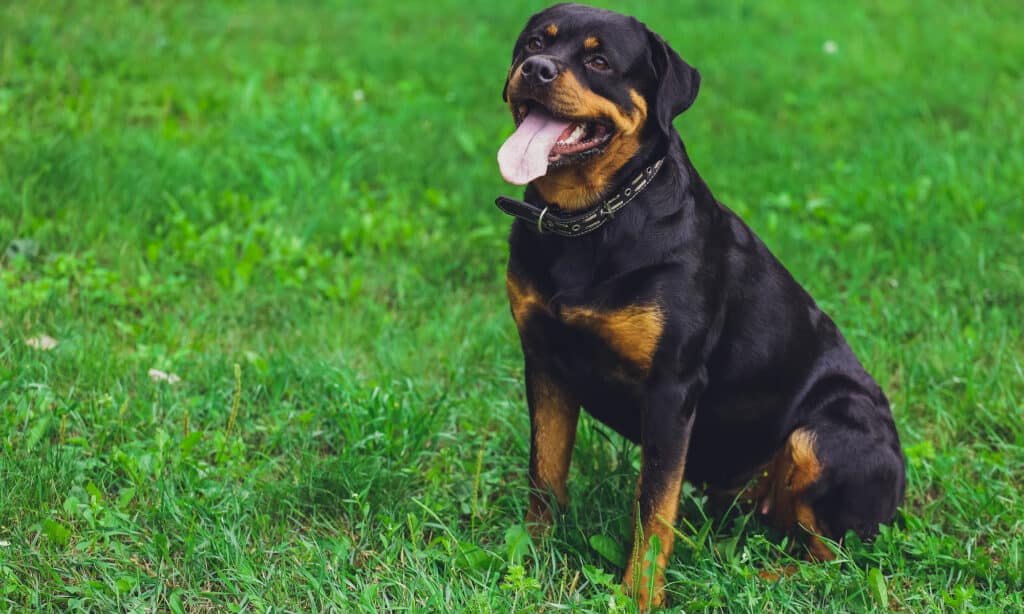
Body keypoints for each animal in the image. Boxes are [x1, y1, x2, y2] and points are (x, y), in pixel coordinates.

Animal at [493, 2, 905, 609]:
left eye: (599, 61)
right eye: (531, 45)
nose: (537, 70)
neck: (590, 220)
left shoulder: (672, 387)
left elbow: (653, 507)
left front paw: (639, 597)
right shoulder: (543, 360)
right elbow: (544, 472)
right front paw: (532, 558)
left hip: (825, 435)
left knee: (839, 559)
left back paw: (757, 579)